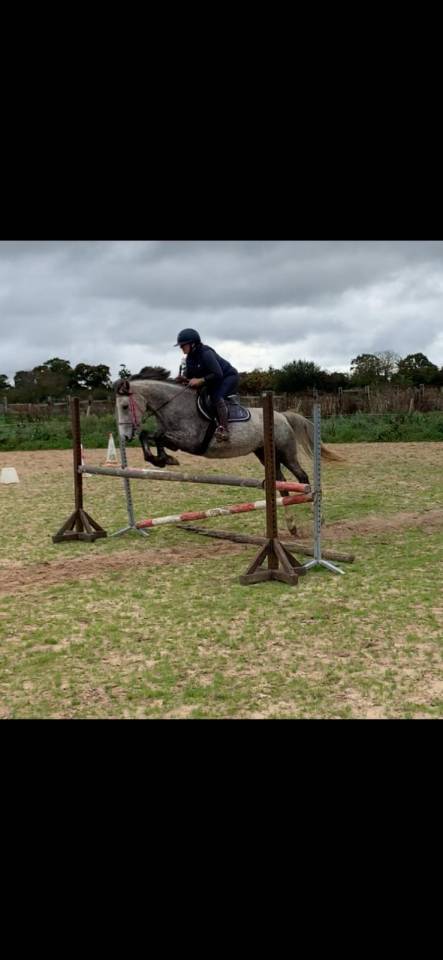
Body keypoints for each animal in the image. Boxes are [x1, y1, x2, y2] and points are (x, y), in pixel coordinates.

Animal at [114, 368, 343, 535]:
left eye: (124, 406)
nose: (124, 437)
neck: (174, 406)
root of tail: (282, 415)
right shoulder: (171, 437)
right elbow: (150, 436)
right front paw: (162, 459)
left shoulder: (191, 441)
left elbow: (154, 436)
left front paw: (164, 459)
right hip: (265, 455)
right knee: (282, 484)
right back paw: (292, 526)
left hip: (285, 453)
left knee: (302, 477)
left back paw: (318, 518)